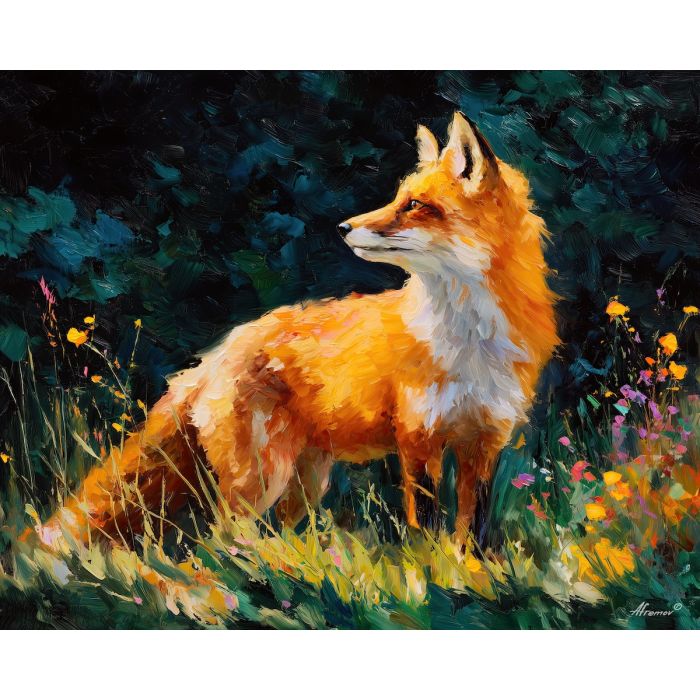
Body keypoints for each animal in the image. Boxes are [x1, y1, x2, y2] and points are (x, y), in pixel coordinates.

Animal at [31, 112, 558, 549]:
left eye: (414, 205)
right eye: (397, 199)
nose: (343, 227)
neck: (468, 340)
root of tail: (213, 355)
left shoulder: (485, 439)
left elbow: (475, 529)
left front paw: (469, 572)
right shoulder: (418, 436)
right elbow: (425, 526)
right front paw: (428, 575)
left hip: (304, 482)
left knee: (276, 533)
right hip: (262, 476)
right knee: (222, 538)